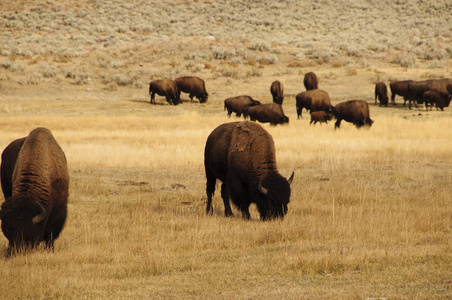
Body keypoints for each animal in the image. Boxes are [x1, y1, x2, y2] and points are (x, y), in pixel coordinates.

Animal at [0, 127, 69, 255]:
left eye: (30, 234)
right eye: (7, 233)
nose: (14, 252)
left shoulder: (59, 210)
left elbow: (50, 233)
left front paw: (50, 250)